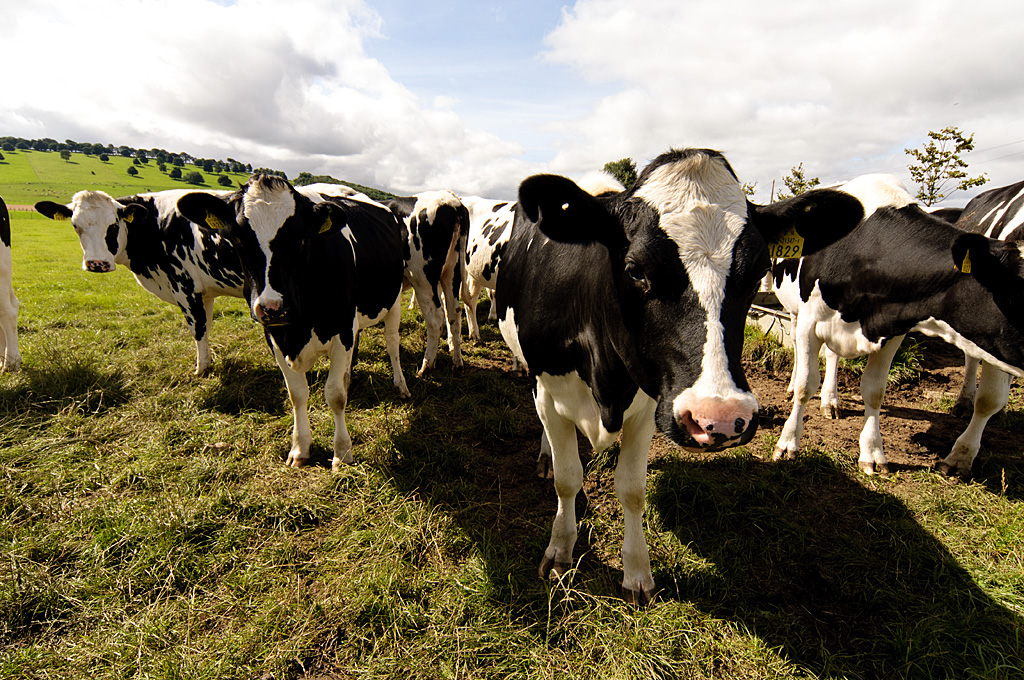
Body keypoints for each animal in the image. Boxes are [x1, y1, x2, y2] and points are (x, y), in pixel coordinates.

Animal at [34, 188, 243, 374]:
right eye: (75, 225)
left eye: (113, 225)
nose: (97, 263)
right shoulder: (204, 292)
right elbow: (206, 329)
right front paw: (206, 364)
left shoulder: (185, 288)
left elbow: (198, 330)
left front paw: (201, 370)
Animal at [178, 176, 409, 473]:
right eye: (238, 238)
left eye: (301, 239)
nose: (272, 307)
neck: (298, 326)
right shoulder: (275, 336)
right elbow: (297, 394)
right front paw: (300, 448)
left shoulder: (342, 329)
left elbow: (334, 395)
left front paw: (342, 452)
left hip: (393, 300)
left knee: (392, 344)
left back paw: (401, 385)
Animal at [495, 147, 864, 602]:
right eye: (635, 269)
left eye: (758, 270)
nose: (720, 418)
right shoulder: (548, 389)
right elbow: (568, 479)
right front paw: (560, 552)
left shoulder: (649, 403)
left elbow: (632, 488)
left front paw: (637, 572)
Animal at [774, 174, 1024, 477]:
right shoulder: (810, 323)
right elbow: (805, 385)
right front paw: (787, 443)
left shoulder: (891, 331)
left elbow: (874, 390)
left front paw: (872, 453)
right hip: (795, 310)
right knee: (798, 352)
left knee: (833, 356)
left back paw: (830, 400)